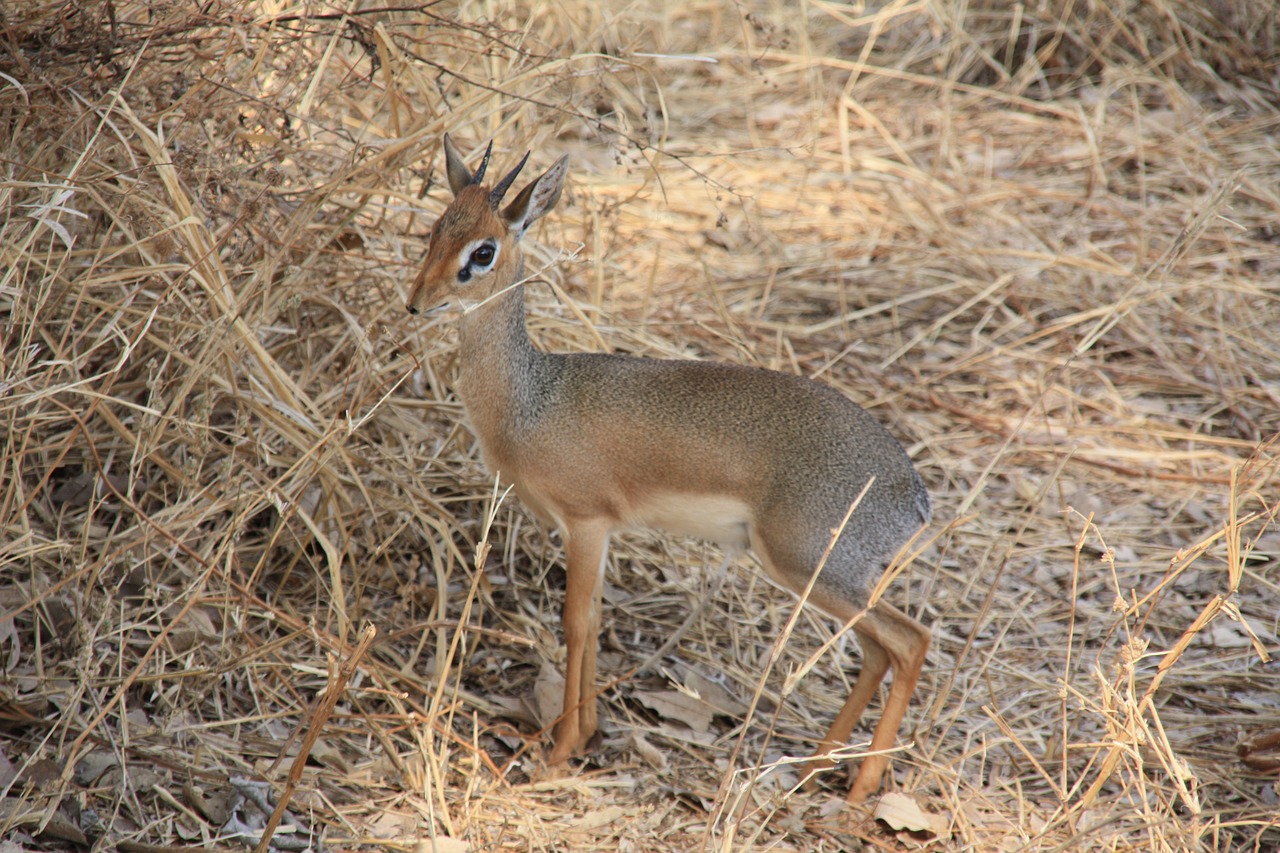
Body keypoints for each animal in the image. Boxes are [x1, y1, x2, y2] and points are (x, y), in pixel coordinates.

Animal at [407, 136, 931, 799]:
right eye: (436, 229)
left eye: (483, 251)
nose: (416, 303)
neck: (532, 402)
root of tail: (913, 494)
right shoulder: (596, 533)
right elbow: (594, 620)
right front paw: (585, 734)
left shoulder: (586, 523)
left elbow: (575, 623)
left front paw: (561, 751)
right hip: (832, 577)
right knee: (877, 651)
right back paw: (816, 766)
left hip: (808, 565)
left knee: (909, 641)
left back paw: (861, 791)